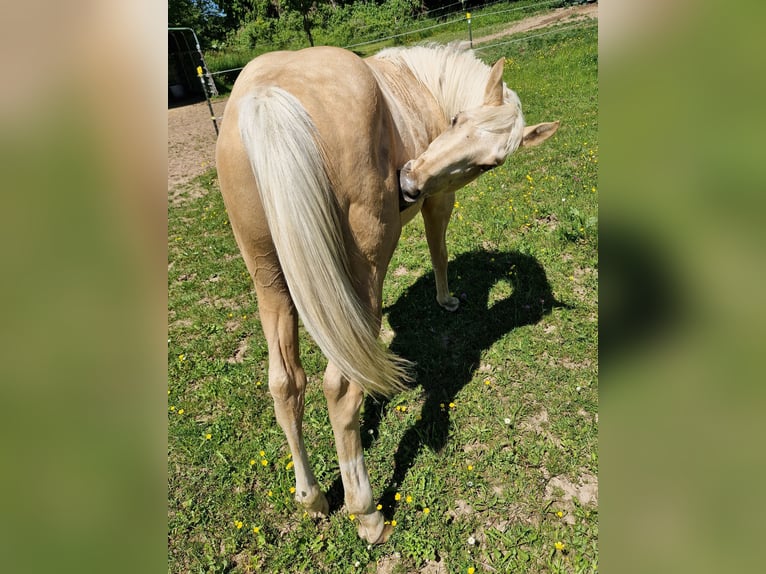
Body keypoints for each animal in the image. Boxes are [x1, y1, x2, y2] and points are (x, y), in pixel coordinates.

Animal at [215, 44, 558, 544]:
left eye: (490, 162)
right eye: (455, 120)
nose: (409, 183)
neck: (421, 82)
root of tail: (266, 95)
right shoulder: (439, 201)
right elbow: (438, 248)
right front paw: (447, 299)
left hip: (270, 279)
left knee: (285, 384)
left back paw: (313, 500)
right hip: (364, 273)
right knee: (340, 389)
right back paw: (367, 515)